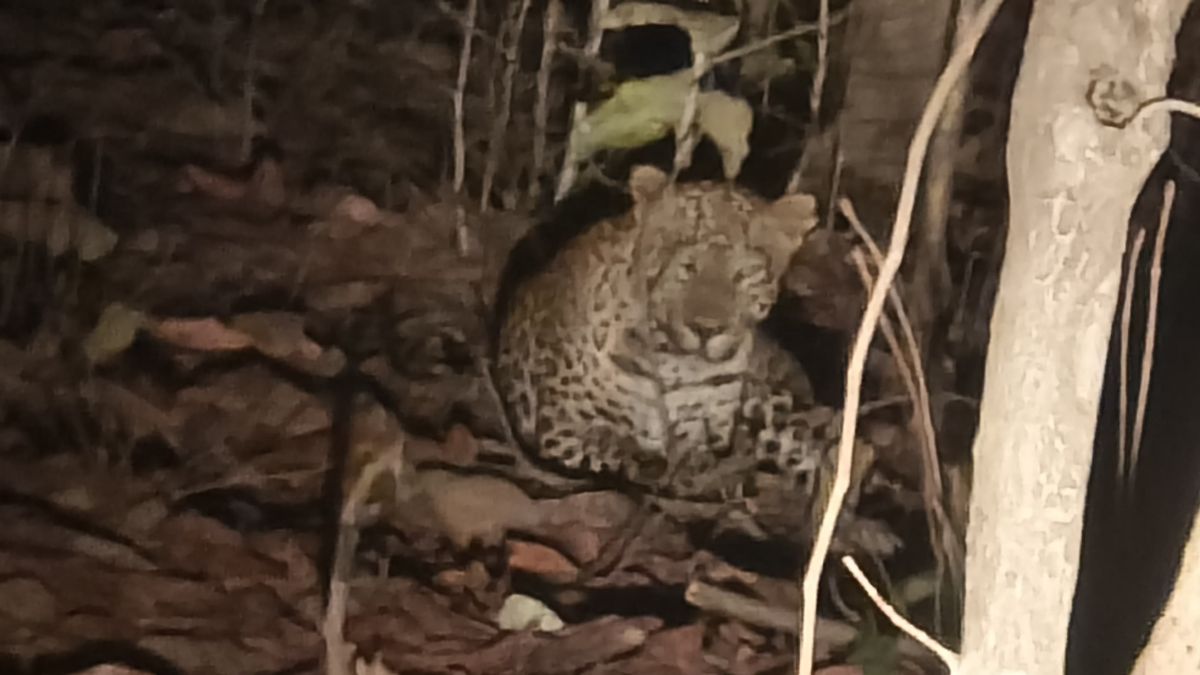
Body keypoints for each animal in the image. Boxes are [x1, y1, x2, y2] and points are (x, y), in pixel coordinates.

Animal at [493, 165, 839, 498]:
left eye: (744, 274)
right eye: (685, 267)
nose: (706, 329)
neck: (678, 364)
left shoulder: (702, 432)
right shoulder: (559, 424)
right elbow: (610, 443)